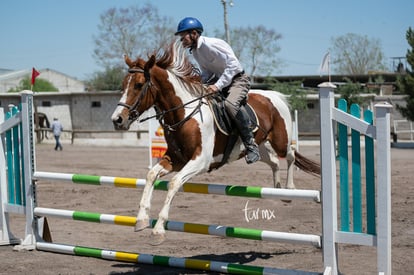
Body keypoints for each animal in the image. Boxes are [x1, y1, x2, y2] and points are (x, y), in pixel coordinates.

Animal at [111, 41, 320, 246]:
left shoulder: (200, 161)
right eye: (123, 85)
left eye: (139, 85)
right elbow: (151, 175)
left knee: (290, 154)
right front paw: (141, 220)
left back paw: (289, 190)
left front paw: (158, 230)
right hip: (258, 148)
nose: (117, 120)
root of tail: (275, 96)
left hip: (280, 140)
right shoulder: (176, 159)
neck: (184, 114)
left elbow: (174, 183)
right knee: (274, 162)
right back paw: (276, 189)